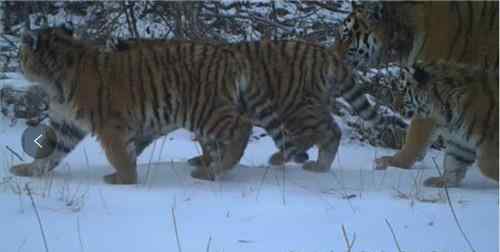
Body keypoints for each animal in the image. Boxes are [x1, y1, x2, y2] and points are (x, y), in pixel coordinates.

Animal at [11, 26, 254, 184]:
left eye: (21, 53)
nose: (17, 62)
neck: (53, 83)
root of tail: (230, 54)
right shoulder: (66, 126)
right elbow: (48, 153)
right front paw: (27, 170)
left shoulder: (111, 126)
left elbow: (119, 157)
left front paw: (122, 180)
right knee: (220, 145)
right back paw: (210, 172)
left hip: (203, 111)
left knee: (243, 126)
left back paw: (220, 167)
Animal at [112, 38, 406, 173]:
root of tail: (325, 53)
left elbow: (210, 141)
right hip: (312, 106)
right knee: (330, 131)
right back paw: (312, 164)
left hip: (296, 107)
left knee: (322, 132)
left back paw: (289, 159)